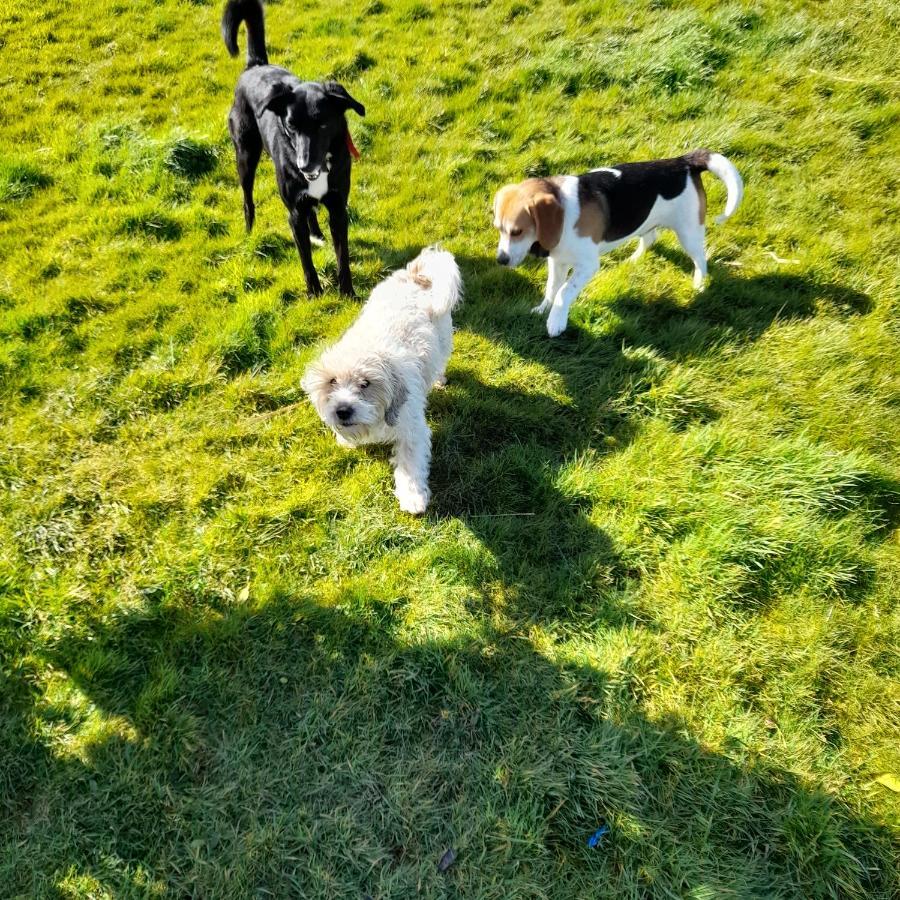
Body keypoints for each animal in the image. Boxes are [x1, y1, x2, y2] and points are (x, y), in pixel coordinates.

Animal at [222, 0, 366, 298]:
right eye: (290, 125)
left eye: (323, 125)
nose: (303, 165)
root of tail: (255, 65)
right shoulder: (294, 216)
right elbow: (306, 260)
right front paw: (314, 294)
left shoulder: (338, 209)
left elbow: (343, 257)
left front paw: (348, 293)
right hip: (246, 155)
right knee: (247, 199)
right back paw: (250, 232)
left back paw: (317, 234)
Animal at [302, 246, 460, 512]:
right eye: (332, 381)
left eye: (365, 383)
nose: (342, 411)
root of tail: (415, 274)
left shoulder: (412, 431)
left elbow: (409, 466)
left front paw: (413, 497)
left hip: (443, 340)